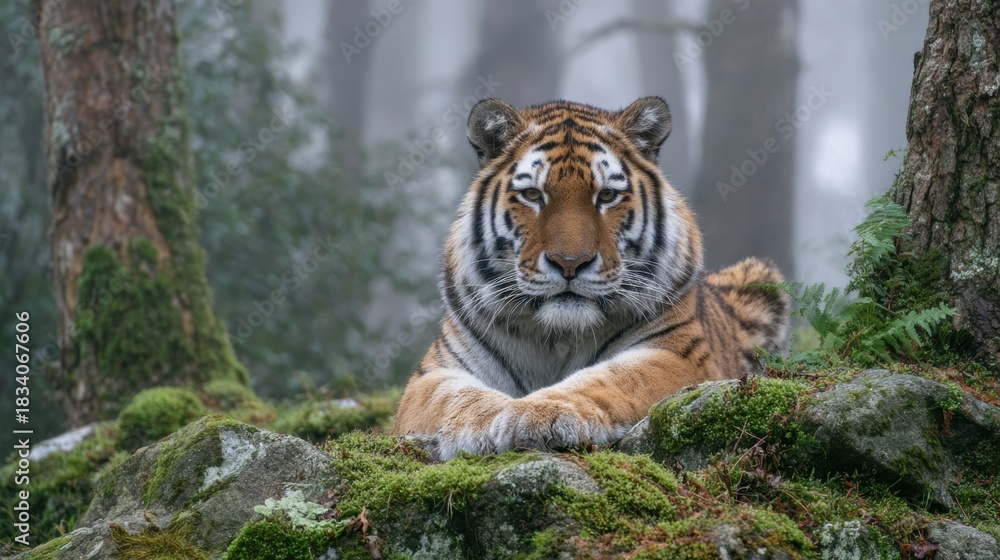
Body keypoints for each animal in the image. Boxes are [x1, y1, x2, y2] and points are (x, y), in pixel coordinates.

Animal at [390, 97, 790, 460]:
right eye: (533, 194)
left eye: (607, 195)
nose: (570, 263)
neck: (557, 337)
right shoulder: (433, 373)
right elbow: (459, 399)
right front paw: (501, 417)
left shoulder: (675, 355)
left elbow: (609, 379)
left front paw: (541, 414)